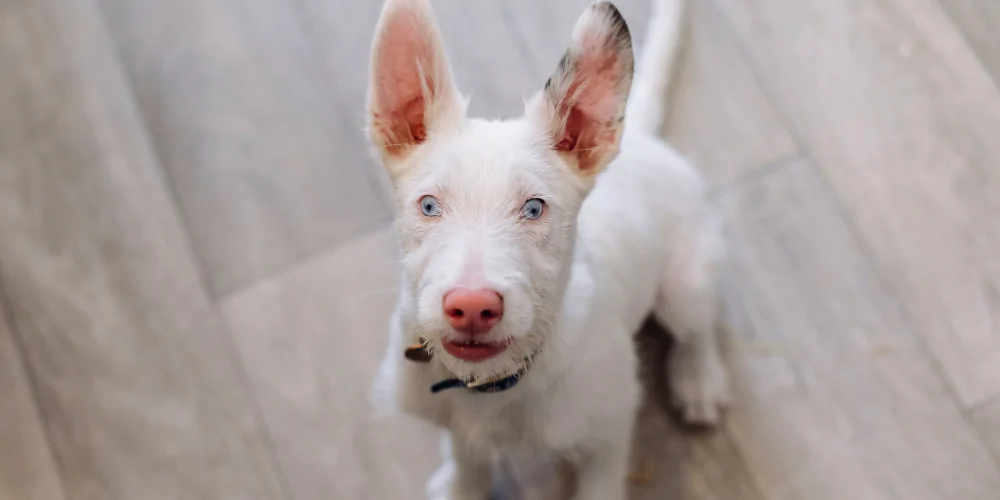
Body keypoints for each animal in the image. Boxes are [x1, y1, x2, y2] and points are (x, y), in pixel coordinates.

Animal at [368, 0, 728, 496]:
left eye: (535, 208)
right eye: (428, 205)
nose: (472, 307)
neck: (493, 382)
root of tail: (643, 138)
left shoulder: (609, 431)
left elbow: (601, 485)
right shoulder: (457, 427)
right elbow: (466, 460)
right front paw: (461, 483)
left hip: (683, 285)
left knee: (697, 327)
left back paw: (698, 379)